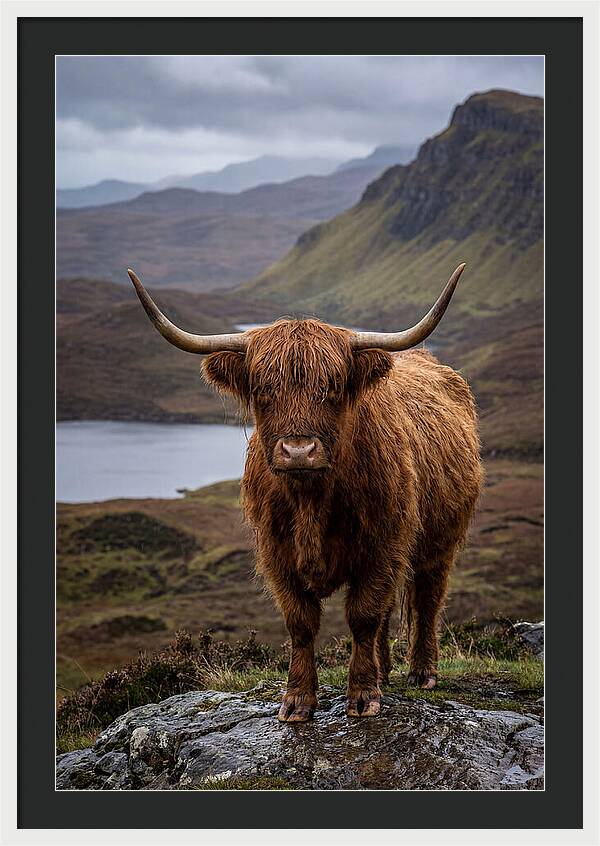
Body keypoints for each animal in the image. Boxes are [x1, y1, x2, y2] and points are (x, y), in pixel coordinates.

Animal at [128, 265, 483, 722]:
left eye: (332, 386)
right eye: (263, 388)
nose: (298, 450)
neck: (312, 500)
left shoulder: (383, 546)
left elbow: (363, 615)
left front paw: (363, 695)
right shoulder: (277, 553)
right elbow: (302, 622)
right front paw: (298, 700)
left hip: (439, 541)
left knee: (427, 598)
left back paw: (422, 672)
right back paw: (386, 670)